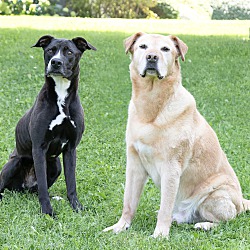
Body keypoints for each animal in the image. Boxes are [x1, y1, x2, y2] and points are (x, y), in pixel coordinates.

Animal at [0, 34, 95, 215]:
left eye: (69, 52)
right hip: (14, 163)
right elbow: (43, 187)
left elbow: (71, 183)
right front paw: (47, 211)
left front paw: (76, 206)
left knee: (36, 189)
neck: (61, 95)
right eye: (50, 50)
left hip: (55, 165)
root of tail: (23, 187)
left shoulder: (71, 149)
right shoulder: (39, 147)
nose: (55, 62)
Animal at [104, 32, 250, 237]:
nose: (152, 57)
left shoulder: (171, 167)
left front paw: (159, 235)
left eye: (165, 49)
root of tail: (242, 201)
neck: (152, 109)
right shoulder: (134, 164)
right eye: (143, 46)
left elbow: (165, 207)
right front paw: (120, 226)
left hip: (216, 195)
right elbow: (128, 202)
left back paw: (204, 225)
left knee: (228, 220)